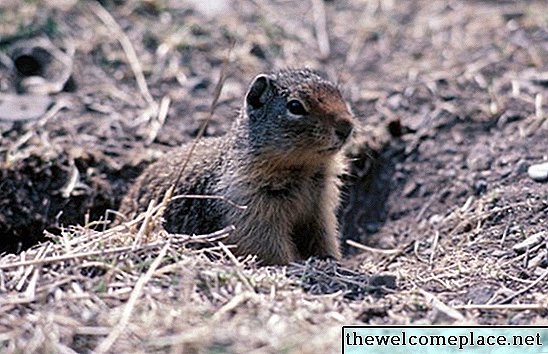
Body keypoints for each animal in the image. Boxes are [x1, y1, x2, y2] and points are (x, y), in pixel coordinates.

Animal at [117, 68, 354, 264]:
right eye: (295, 106)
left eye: (338, 94)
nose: (347, 126)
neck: (304, 170)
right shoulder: (248, 203)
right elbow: (263, 243)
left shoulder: (320, 207)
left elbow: (323, 235)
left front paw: (330, 259)